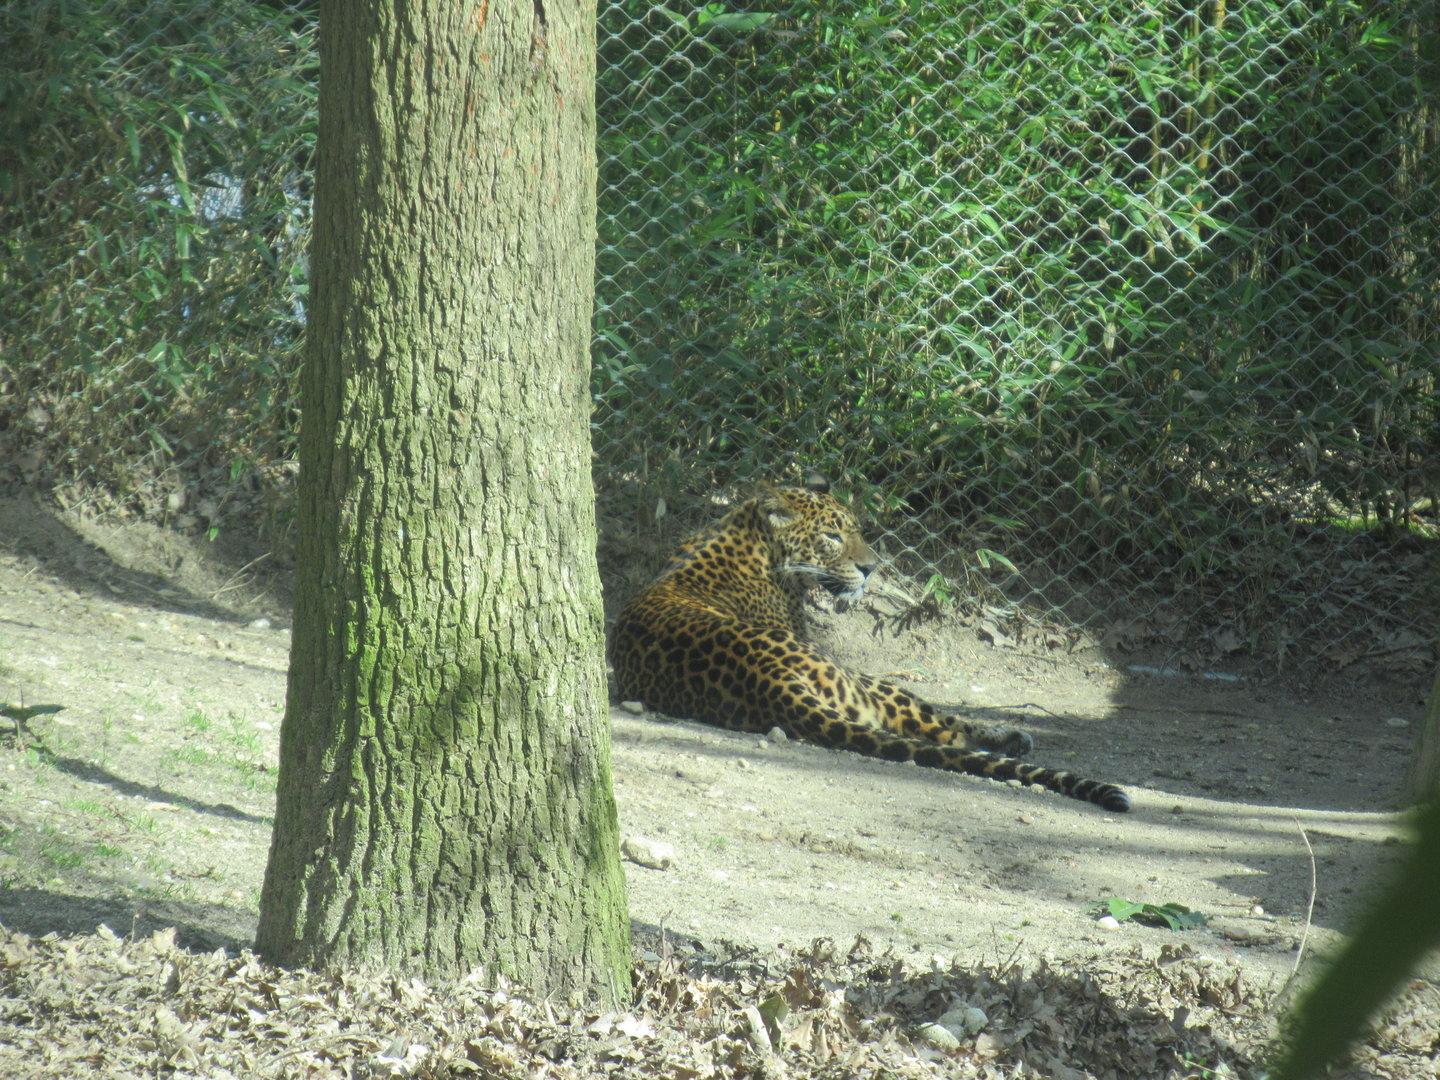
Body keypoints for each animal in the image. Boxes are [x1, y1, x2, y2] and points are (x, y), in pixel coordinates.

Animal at [609, 475, 1131, 813]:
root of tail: (771, 682)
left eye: (856, 530)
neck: (752, 540)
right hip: (868, 681)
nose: (871, 567)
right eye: (830, 535)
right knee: (942, 728)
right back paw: (1010, 739)